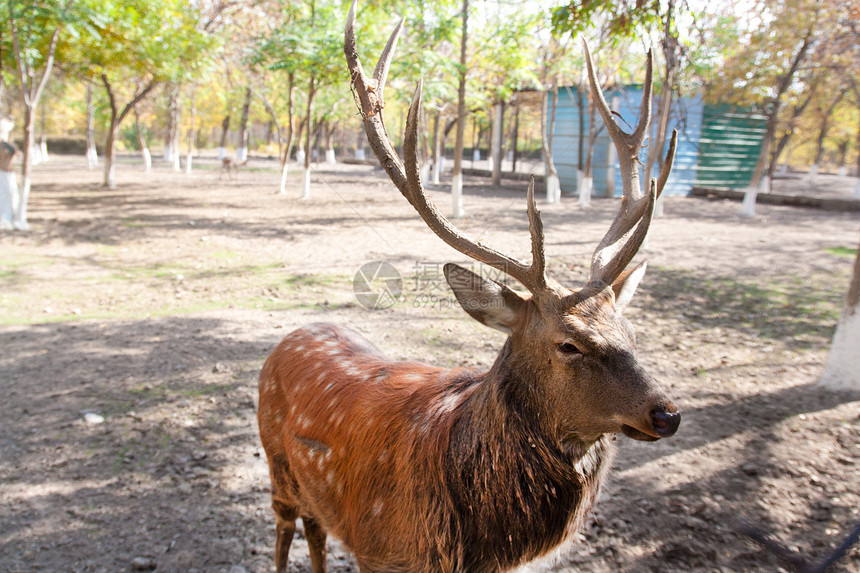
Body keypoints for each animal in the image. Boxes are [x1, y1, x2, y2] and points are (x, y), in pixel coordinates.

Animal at [255, 2, 680, 568]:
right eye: (568, 344)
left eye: (631, 333)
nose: (667, 413)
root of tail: (290, 336)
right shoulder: (377, 547)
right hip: (277, 467)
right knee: (285, 531)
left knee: (316, 530)